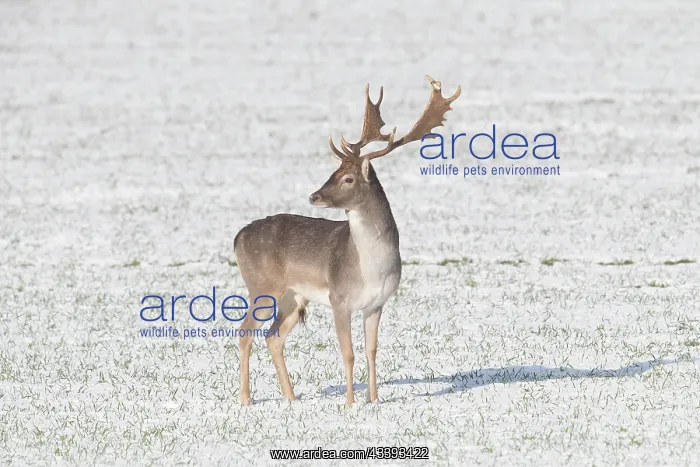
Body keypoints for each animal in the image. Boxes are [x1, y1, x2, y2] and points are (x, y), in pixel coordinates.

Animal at [233, 75, 461, 406]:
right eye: (334, 170)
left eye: (348, 178)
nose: (314, 196)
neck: (372, 269)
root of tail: (238, 237)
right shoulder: (339, 299)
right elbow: (348, 353)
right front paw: (351, 403)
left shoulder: (377, 304)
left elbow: (371, 351)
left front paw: (374, 400)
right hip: (261, 286)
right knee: (244, 332)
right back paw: (246, 399)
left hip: (294, 296)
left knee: (272, 335)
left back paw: (291, 398)